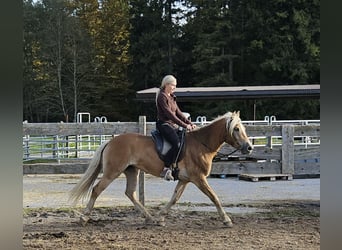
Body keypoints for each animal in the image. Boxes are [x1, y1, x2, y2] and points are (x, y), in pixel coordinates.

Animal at [68, 110, 252, 228]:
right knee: (97, 189)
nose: (249, 147)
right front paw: (226, 220)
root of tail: (110, 141)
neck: (201, 145)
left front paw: (161, 218)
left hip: (131, 171)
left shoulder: (185, 179)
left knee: (130, 193)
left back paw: (149, 217)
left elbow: (174, 199)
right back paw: (84, 218)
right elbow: (214, 197)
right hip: (112, 172)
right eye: (236, 129)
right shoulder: (198, 178)